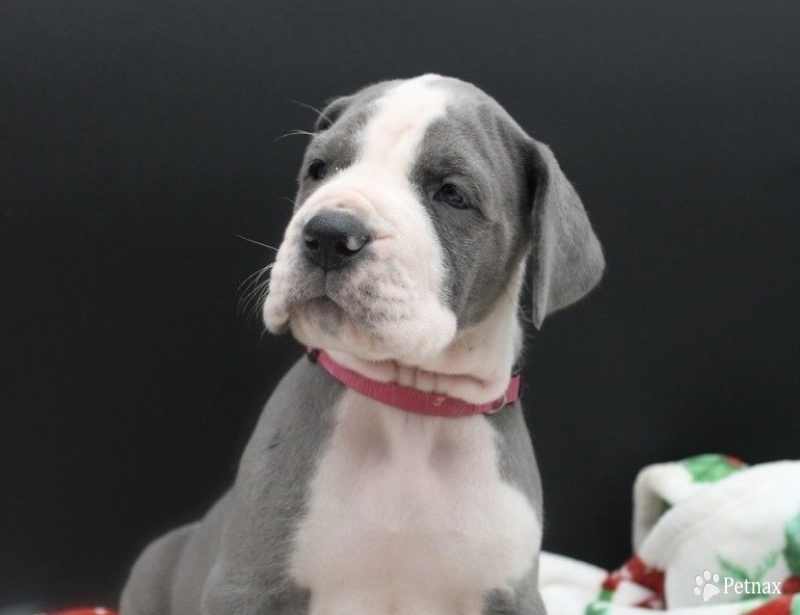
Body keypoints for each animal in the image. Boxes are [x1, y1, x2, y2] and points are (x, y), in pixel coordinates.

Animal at [122, 76, 604, 615]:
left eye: (451, 194)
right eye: (319, 169)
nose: (329, 234)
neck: (411, 402)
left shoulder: (511, 595)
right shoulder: (246, 584)